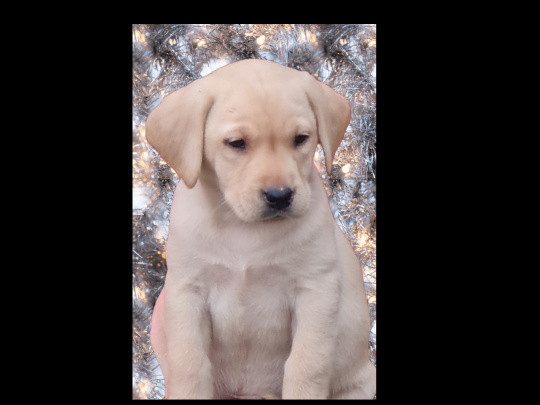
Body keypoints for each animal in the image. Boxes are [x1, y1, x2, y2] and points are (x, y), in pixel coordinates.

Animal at [148, 59, 376, 398]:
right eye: (236, 144)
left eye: (301, 139)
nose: (279, 196)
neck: (242, 228)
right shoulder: (186, 291)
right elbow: (189, 364)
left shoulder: (315, 289)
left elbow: (306, 365)